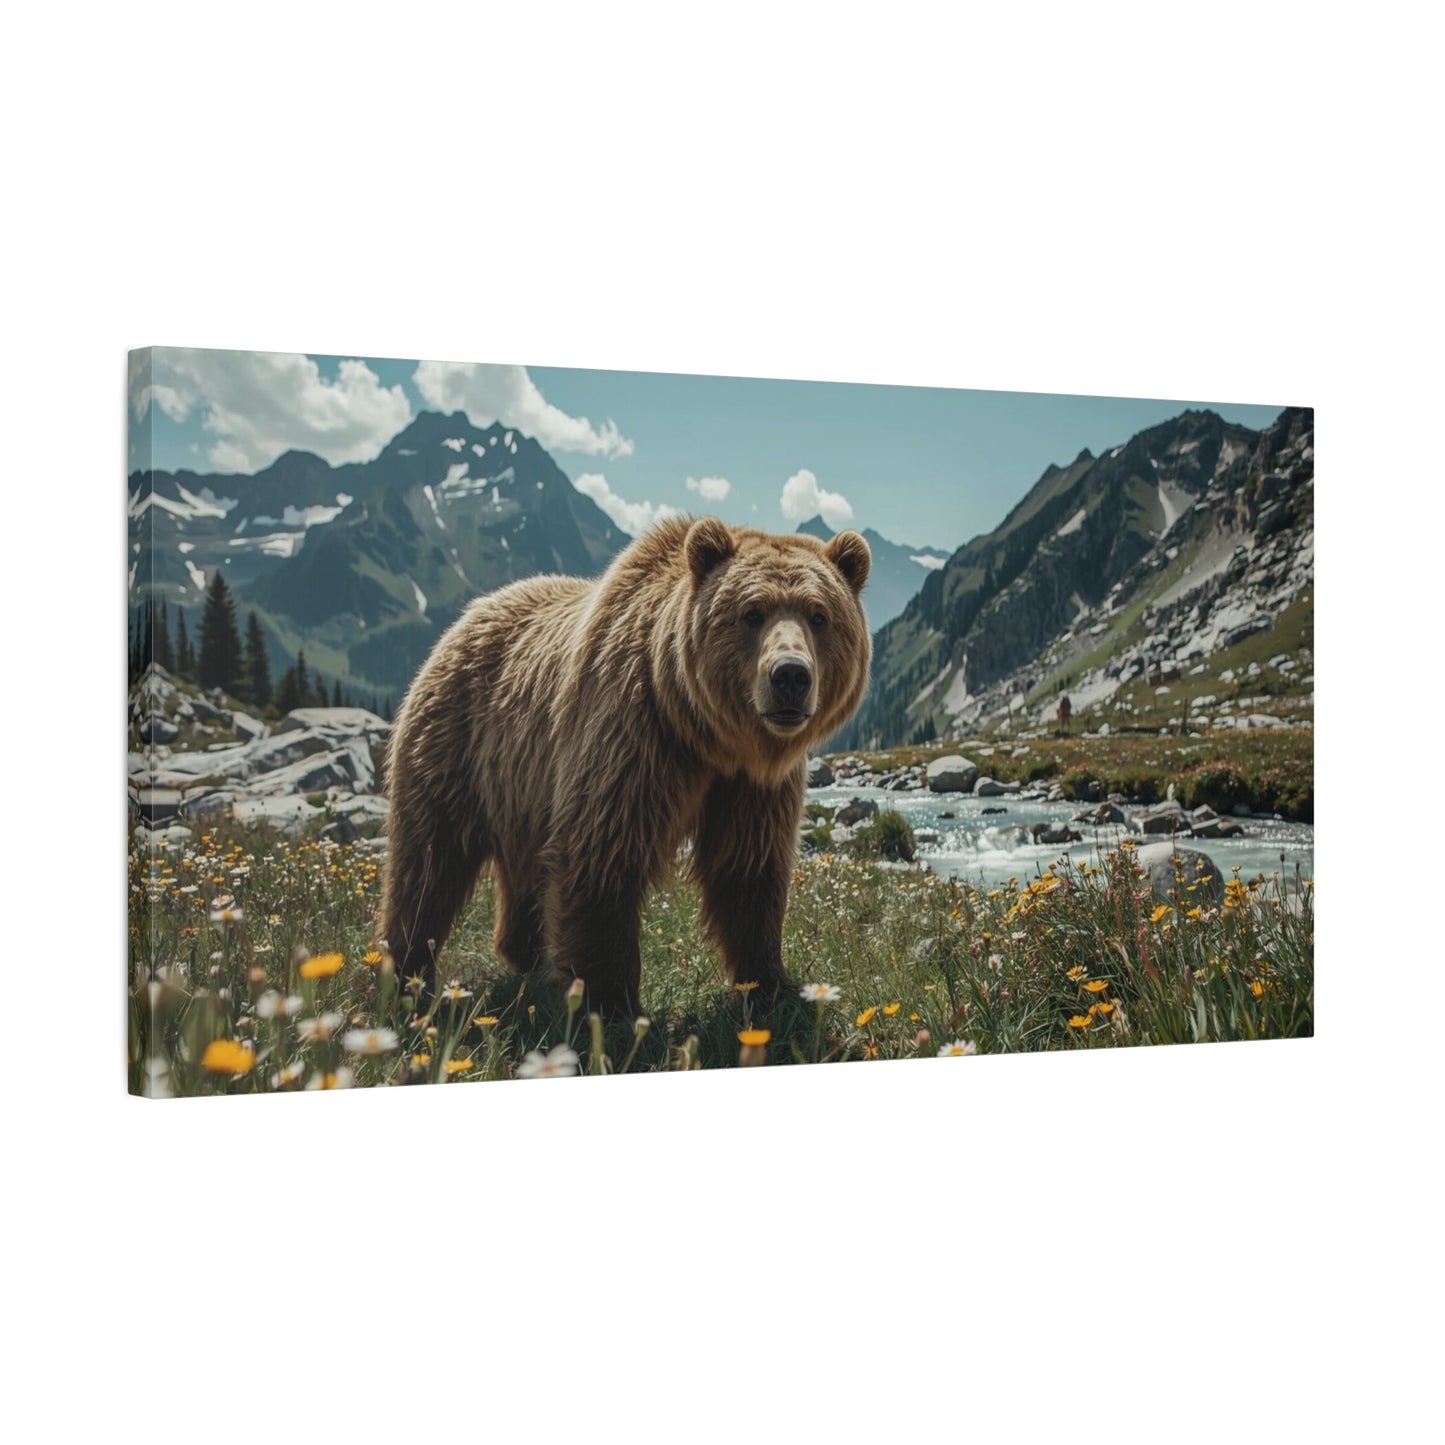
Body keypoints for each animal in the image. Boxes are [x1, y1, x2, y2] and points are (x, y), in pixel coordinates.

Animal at [377, 515, 871, 1018]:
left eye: (819, 615)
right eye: (752, 613)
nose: (790, 675)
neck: (707, 736)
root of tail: (466, 617)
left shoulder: (751, 785)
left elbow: (748, 868)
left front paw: (773, 986)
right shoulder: (633, 737)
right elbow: (602, 852)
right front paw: (609, 1002)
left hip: (521, 789)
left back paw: (526, 956)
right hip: (457, 744)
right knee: (428, 862)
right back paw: (406, 972)